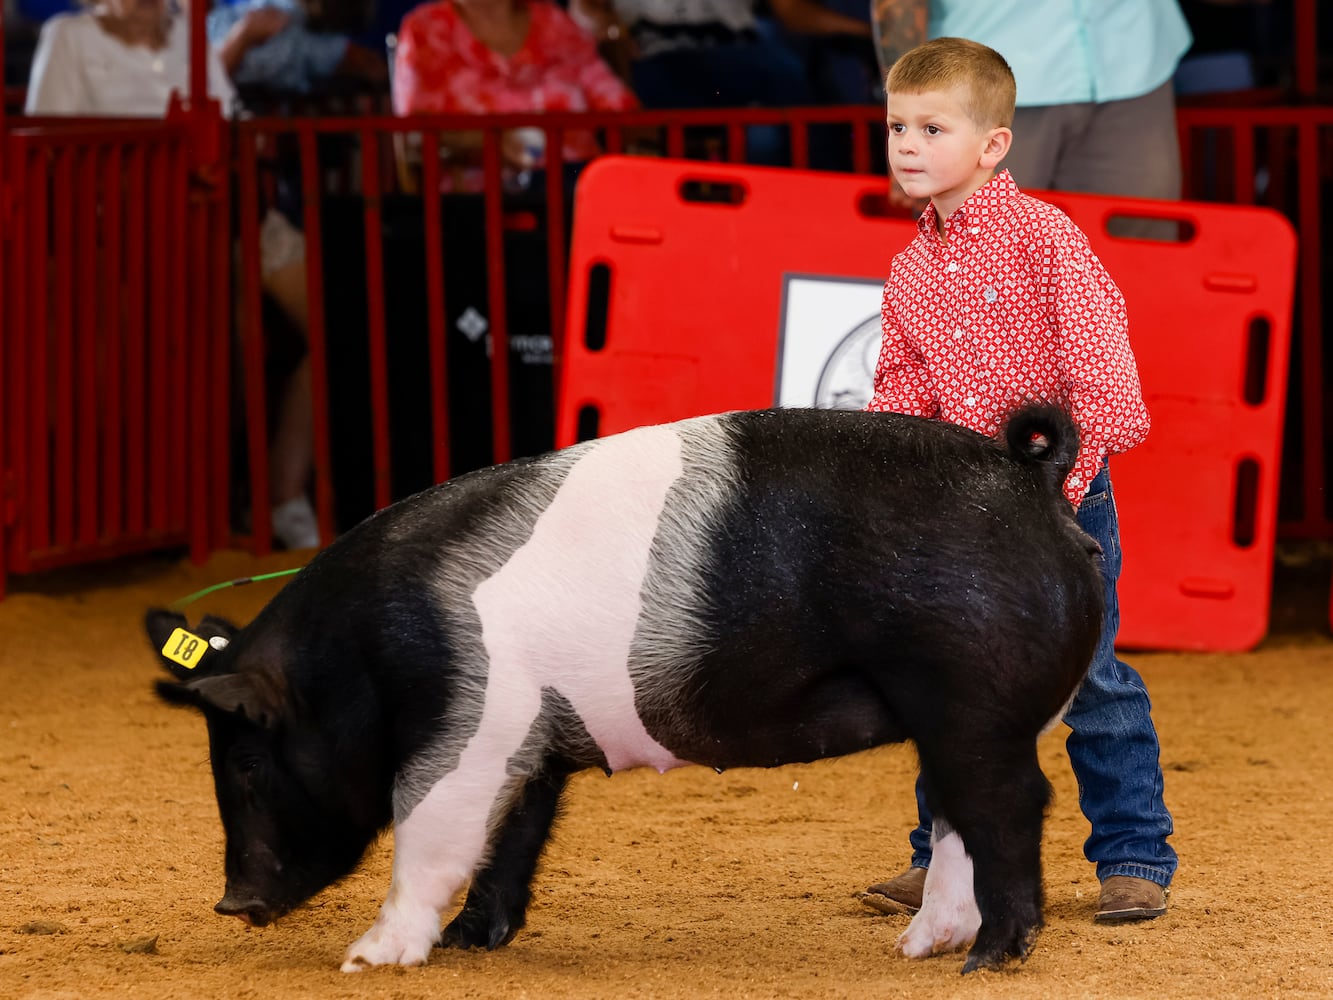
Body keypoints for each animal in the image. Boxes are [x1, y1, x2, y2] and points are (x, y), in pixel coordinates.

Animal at [145, 402, 1103, 976]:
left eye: (246, 767)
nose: (232, 902)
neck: (356, 663)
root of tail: (1030, 479)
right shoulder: (525, 750)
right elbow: (509, 842)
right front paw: (470, 944)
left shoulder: (467, 732)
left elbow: (431, 835)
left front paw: (369, 959)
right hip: (954, 717)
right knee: (958, 821)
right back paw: (918, 949)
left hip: (970, 700)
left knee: (1011, 809)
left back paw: (990, 958)